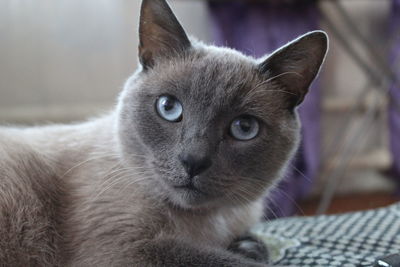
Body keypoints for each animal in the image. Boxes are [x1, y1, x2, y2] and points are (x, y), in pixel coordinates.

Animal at [0, 0, 326, 266]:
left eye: (244, 128)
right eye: (169, 107)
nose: (193, 161)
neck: (209, 224)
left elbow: (252, 250)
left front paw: (249, 247)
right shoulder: (124, 249)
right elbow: (224, 261)